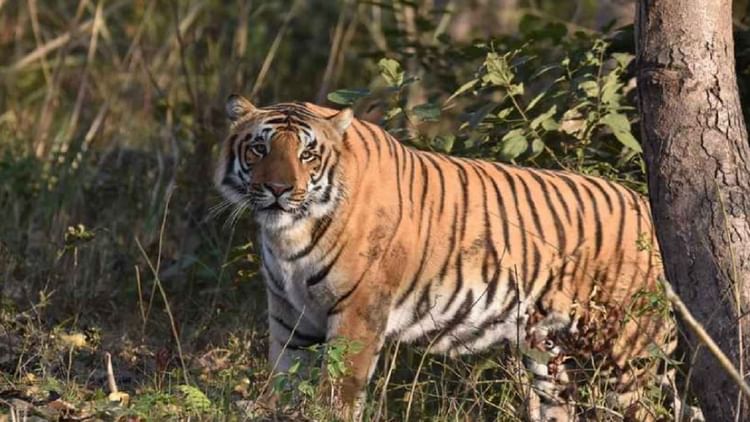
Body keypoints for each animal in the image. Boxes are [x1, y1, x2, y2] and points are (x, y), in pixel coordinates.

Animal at [214, 94, 676, 421]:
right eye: (259, 149)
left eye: (307, 154)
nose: (277, 189)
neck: (288, 236)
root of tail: (645, 205)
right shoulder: (289, 314)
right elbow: (285, 377)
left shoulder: (358, 314)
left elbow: (339, 392)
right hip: (547, 353)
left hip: (627, 352)